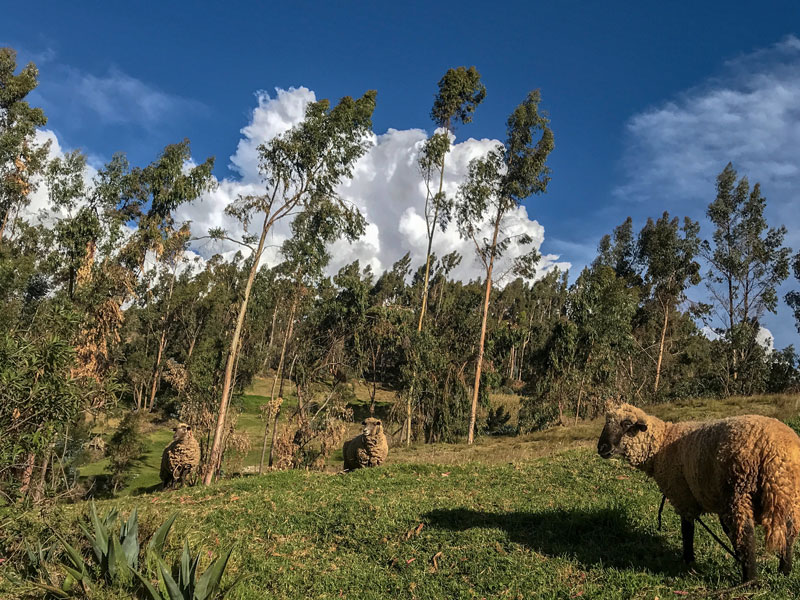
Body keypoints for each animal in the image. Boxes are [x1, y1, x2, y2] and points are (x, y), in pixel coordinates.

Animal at [600, 404, 800, 580]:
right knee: (788, 532)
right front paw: (735, 557)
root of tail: (775, 451)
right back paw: (784, 570)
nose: (601, 448)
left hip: (738, 491)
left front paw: (688, 560)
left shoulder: (683, 496)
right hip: (787, 495)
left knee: (746, 535)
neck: (662, 442)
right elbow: (725, 531)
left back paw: (750, 580)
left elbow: (687, 530)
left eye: (626, 424)